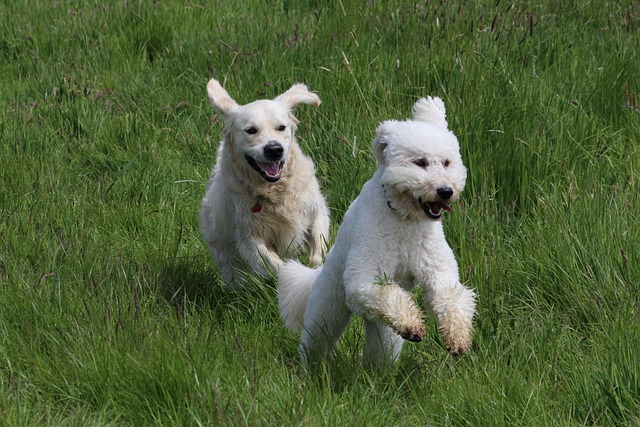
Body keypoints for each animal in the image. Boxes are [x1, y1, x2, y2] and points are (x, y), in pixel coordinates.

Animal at [200, 78, 330, 286]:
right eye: (251, 130)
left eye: (281, 127)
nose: (274, 149)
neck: (274, 191)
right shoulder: (249, 236)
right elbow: (274, 264)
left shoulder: (316, 214)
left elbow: (318, 250)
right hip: (224, 249)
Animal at [278, 97, 476, 368]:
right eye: (420, 162)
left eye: (447, 162)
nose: (446, 191)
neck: (404, 219)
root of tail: (318, 273)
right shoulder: (363, 277)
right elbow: (385, 292)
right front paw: (413, 323)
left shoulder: (438, 270)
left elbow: (450, 296)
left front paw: (457, 336)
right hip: (326, 310)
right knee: (315, 343)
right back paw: (312, 369)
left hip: (384, 336)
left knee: (379, 353)